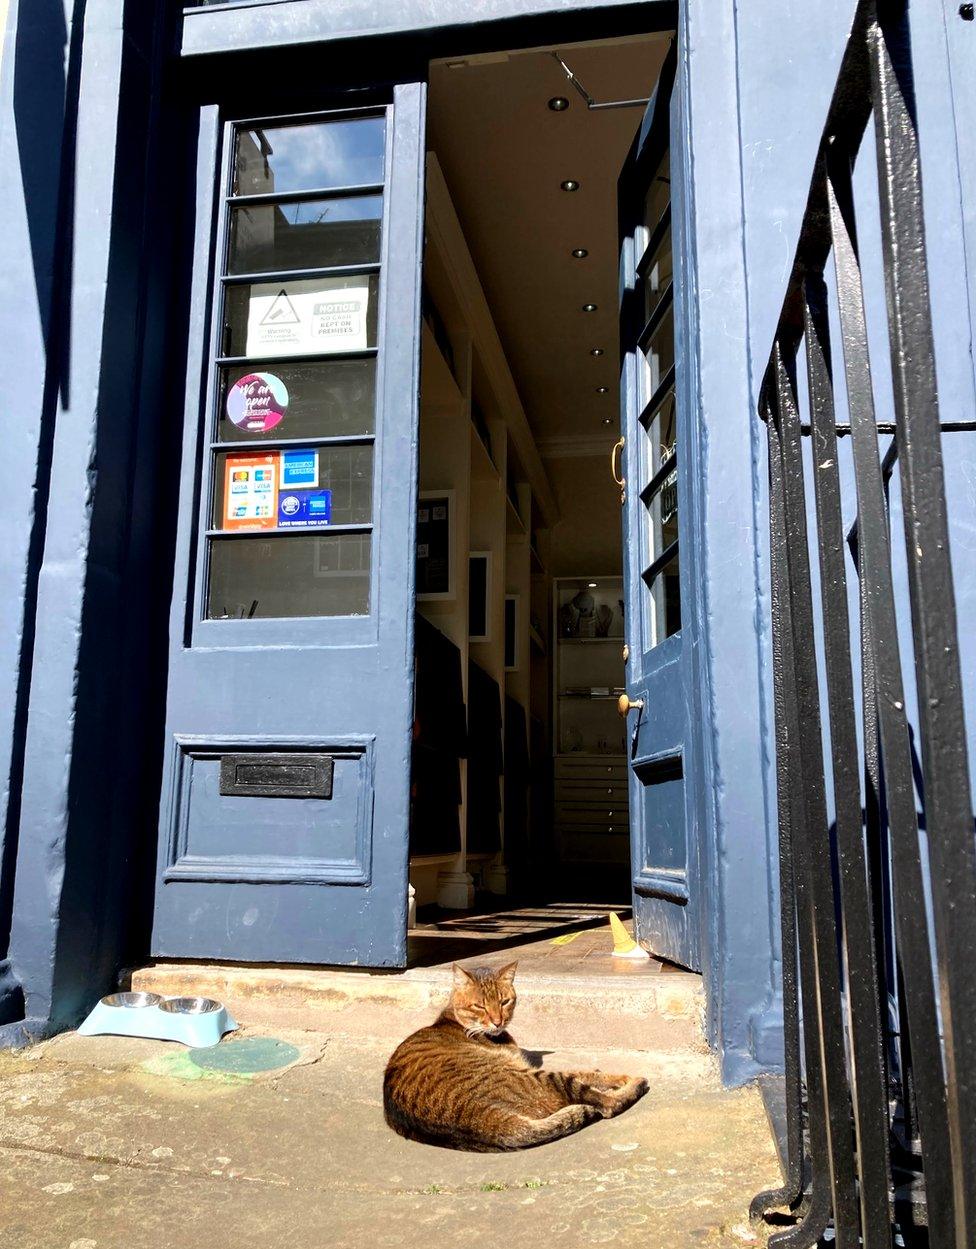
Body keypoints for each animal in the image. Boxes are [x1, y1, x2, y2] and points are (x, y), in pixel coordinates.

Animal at [379, 959, 644, 1154]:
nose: (498, 1021)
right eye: (480, 1006)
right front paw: (610, 1076)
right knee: (606, 1103)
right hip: (538, 1078)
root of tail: (484, 1125)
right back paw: (634, 1083)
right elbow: (585, 1074)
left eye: (504, 1001)